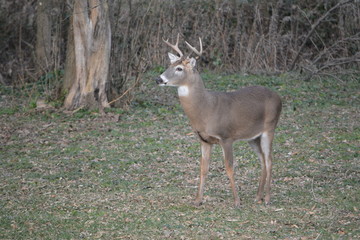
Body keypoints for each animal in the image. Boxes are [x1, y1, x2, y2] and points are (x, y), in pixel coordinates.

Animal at [155, 33, 282, 206]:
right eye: (170, 65)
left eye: (179, 68)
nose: (159, 79)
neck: (205, 110)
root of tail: (279, 98)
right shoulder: (204, 140)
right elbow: (203, 168)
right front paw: (198, 200)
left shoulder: (226, 136)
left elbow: (229, 167)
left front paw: (237, 201)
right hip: (253, 137)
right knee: (262, 160)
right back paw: (258, 196)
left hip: (270, 128)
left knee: (269, 160)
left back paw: (267, 198)